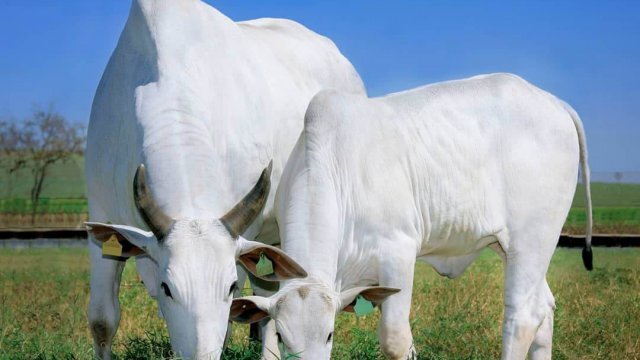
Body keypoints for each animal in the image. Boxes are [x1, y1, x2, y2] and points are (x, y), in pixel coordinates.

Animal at [231, 74, 596, 360]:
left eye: (330, 334)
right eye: (283, 336)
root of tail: (553, 102)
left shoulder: (398, 254)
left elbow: (395, 340)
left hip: (531, 240)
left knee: (523, 315)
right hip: (514, 248)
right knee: (544, 306)